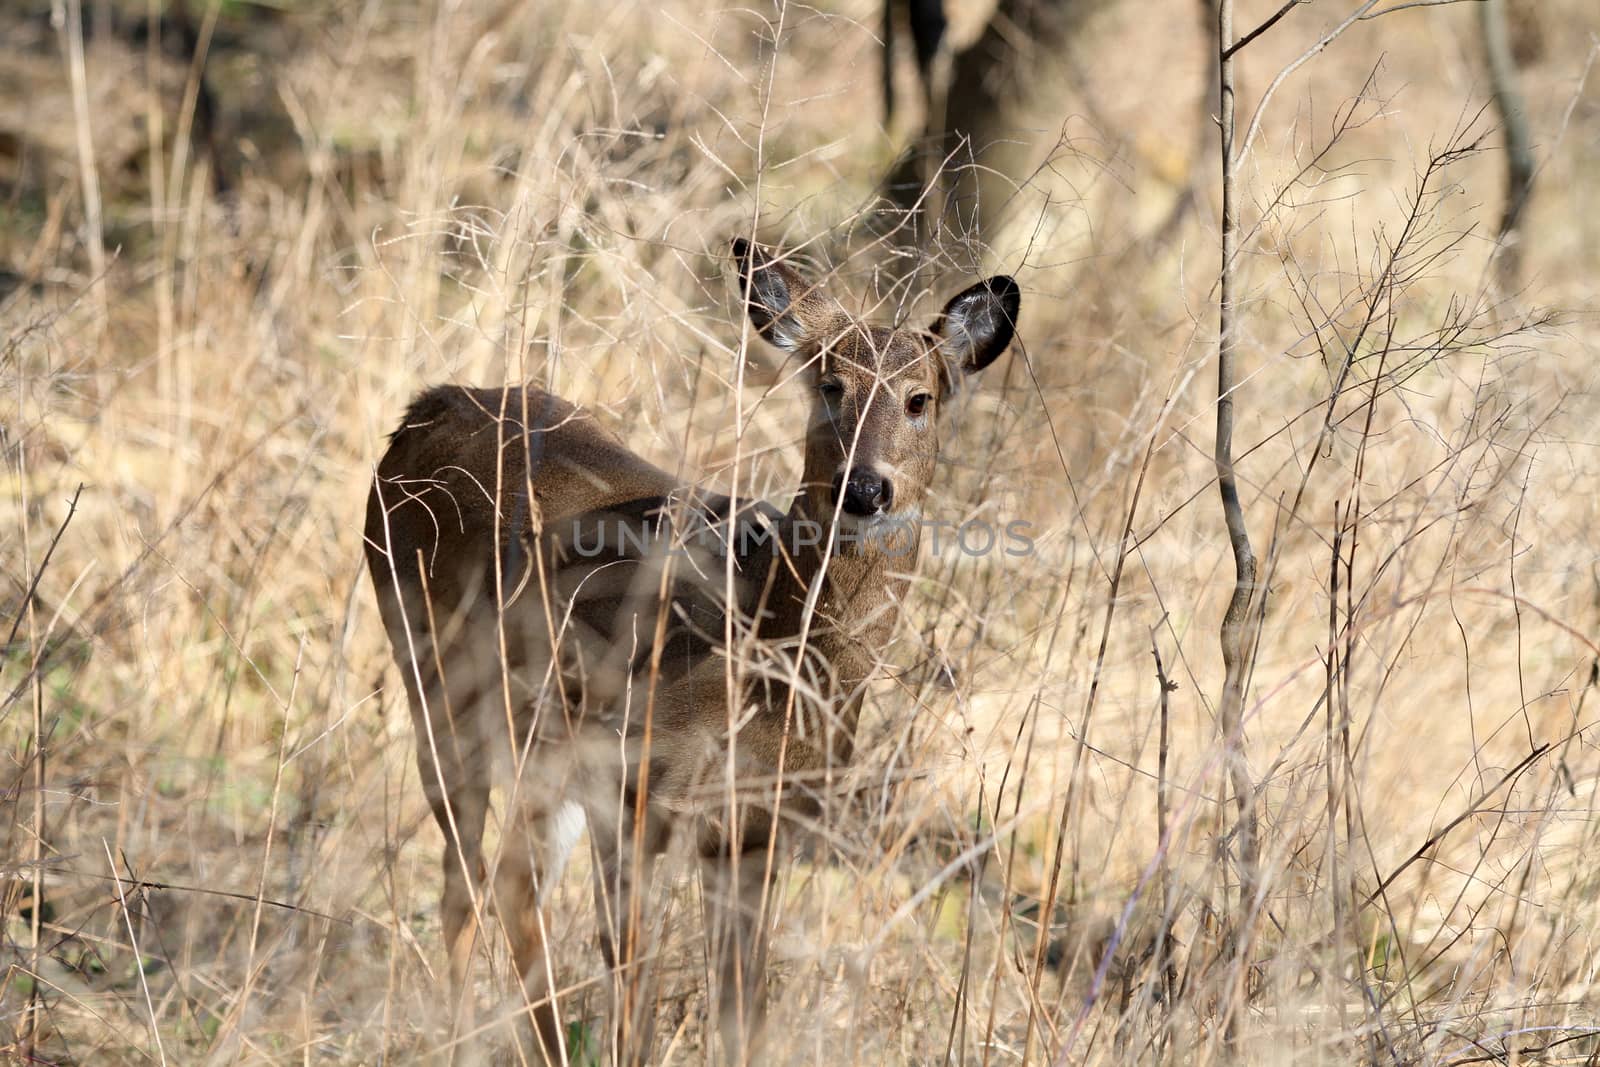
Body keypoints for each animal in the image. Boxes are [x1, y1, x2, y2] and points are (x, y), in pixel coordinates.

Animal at [363, 238, 1017, 1062]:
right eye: (830, 385)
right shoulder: (637, 787)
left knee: (510, 885)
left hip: (547, 745)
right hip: (439, 681)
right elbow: (632, 973)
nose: (864, 488)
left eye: (919, 398)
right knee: (471, 883)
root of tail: (425, 408)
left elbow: (743, 1002)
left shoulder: (752, 827)